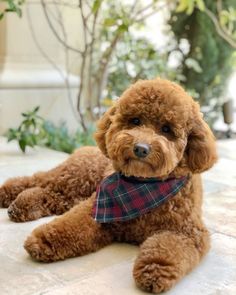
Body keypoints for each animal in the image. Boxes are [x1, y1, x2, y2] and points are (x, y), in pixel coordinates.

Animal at [0, 78, 218, 294]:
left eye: (166, 129)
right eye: (135, 121)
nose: (141, 149)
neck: (142, 186)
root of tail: (85, 149)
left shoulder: (188, 232)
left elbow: (166, 248)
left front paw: (155, 269)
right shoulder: (96, 209)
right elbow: (72, 223)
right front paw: (45, 239)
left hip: (74, 192)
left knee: (50, 195)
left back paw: (22, 206)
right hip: (74, 177)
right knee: (36, 179)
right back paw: (8, 196)